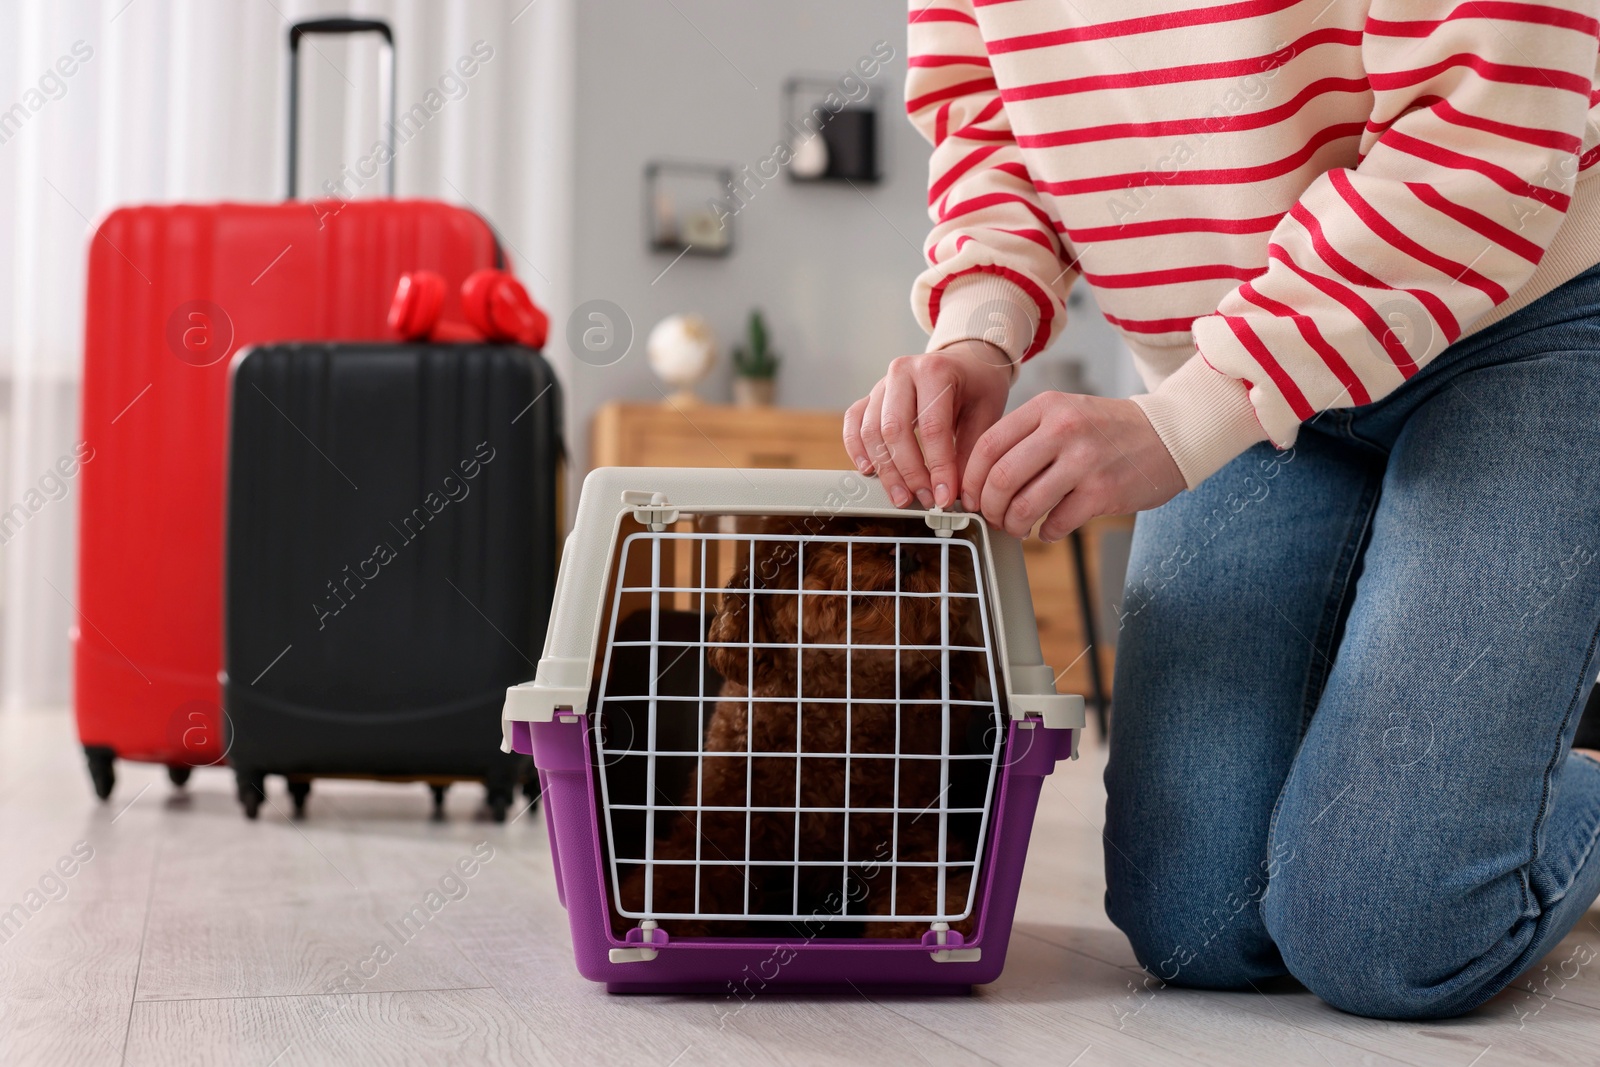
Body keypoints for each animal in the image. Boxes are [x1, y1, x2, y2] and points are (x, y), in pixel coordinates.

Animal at [617, 518, 992, 940]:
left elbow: (929, 894)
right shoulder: (716, 833)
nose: (908, 553)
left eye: (924, 535)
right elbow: (673, 886)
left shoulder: (911, 841)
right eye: (844, 528)